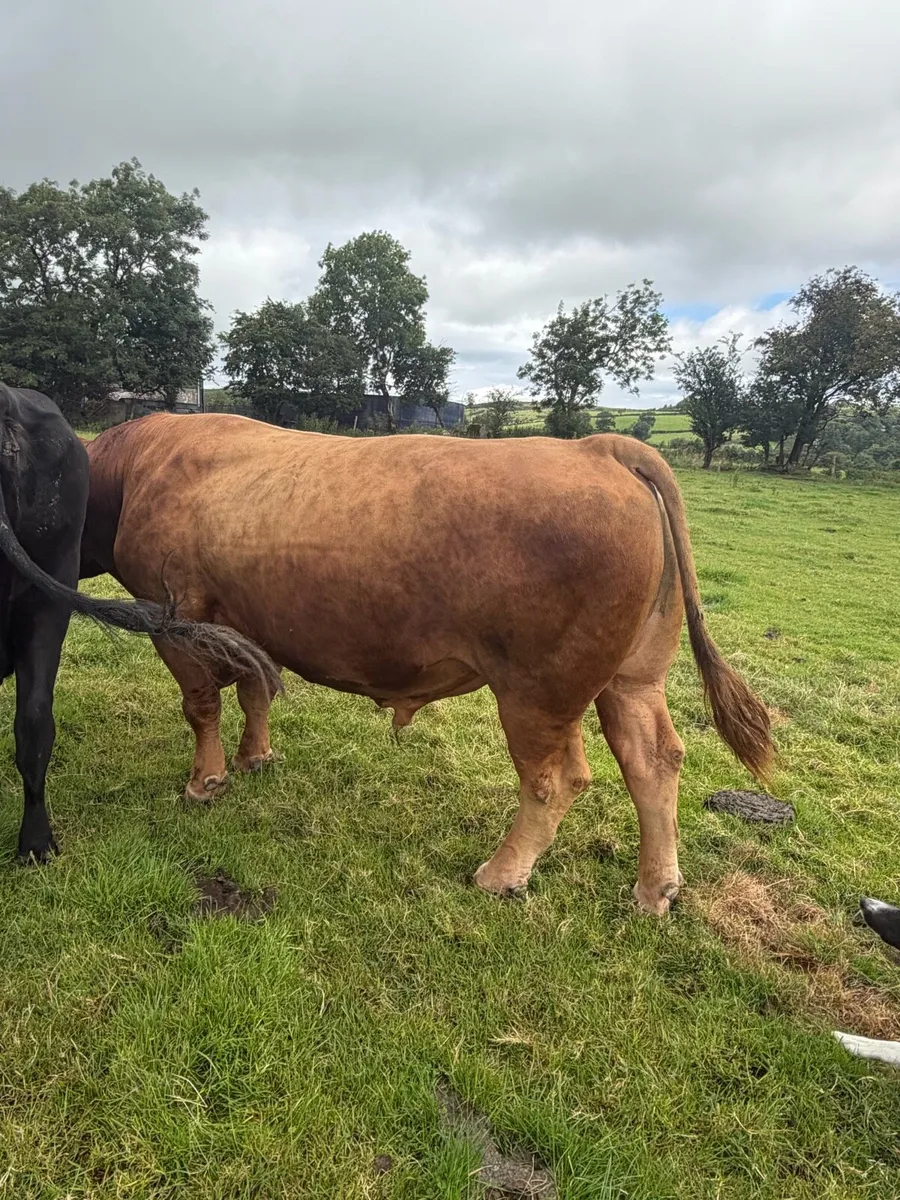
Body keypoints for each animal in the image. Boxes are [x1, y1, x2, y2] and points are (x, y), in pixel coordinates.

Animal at [82, 414, 774, 914]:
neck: (136, 468)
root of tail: (597, 447)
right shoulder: (243, 627)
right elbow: (254, 689)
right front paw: (256, 758)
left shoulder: (175, 618)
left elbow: (201, 706)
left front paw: (205, 781)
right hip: (633, 675)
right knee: (653, 759)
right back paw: (654, 891)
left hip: (538, 689)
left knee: (556, 779)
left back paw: (502, 873)